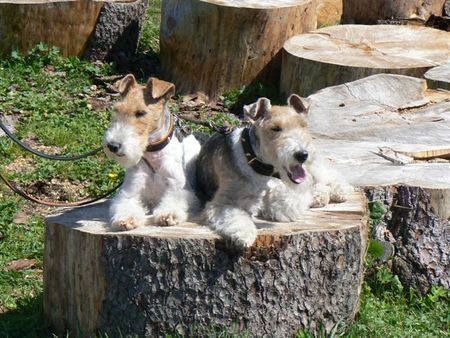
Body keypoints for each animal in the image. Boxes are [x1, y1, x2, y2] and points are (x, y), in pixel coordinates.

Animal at [103, 75, 200, 231]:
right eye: (116, 110)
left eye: (141, 113)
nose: (113, 146)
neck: (153, 155)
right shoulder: (131, 191)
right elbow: (126, 205)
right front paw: (126, 219)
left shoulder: (178, 189)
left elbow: (173, 202)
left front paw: (168, 215)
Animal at [197, 94, 352, 248]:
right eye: (275, 128)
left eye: (303, 125)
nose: (302, 155)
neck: (258, 166)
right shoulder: (221, 202)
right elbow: (235, 215)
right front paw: (244, 235)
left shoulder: (286, 198)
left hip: (314, 167)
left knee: (329, 177)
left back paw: (339, 191)